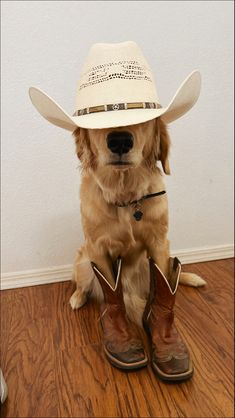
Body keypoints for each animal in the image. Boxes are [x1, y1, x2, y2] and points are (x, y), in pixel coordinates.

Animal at [69, 117, 205, 326]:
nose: (120, 141)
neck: (125, 198)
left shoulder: (159, 243)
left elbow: (164, 279)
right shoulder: (97, 248)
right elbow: (110, 287)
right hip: (83, 262)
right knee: (82, 285)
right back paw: (77, 298)